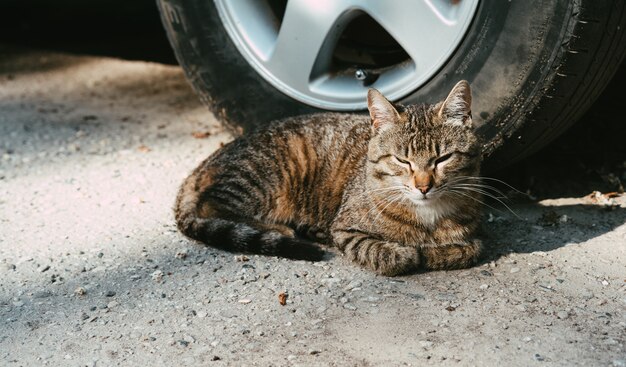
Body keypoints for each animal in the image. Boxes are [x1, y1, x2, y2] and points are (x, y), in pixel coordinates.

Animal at [176, 80, 482, 276]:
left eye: (442, 159)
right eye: (402, 160)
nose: (423, 186)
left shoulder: (475, 235)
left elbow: (469, 250)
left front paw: (436, 251)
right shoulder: (345, 228)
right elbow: (387, 254)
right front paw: (407, 253)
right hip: (262, 177)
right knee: (211, 205)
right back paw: (280, 229)